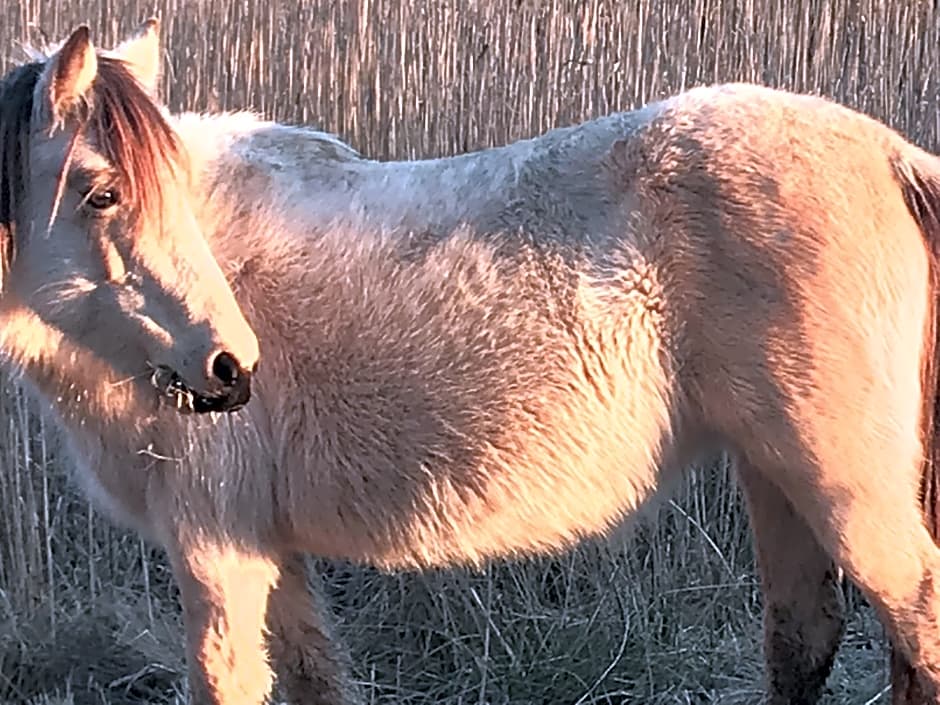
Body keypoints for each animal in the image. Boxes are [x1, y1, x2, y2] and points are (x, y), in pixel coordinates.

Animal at [5, 19, 940, 704]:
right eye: (103, 193)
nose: (227, 368)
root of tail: (890, 154)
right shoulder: (268, 551)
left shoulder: (215, 550)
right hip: (774, 473)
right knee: (802, 635)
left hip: (842, 483)